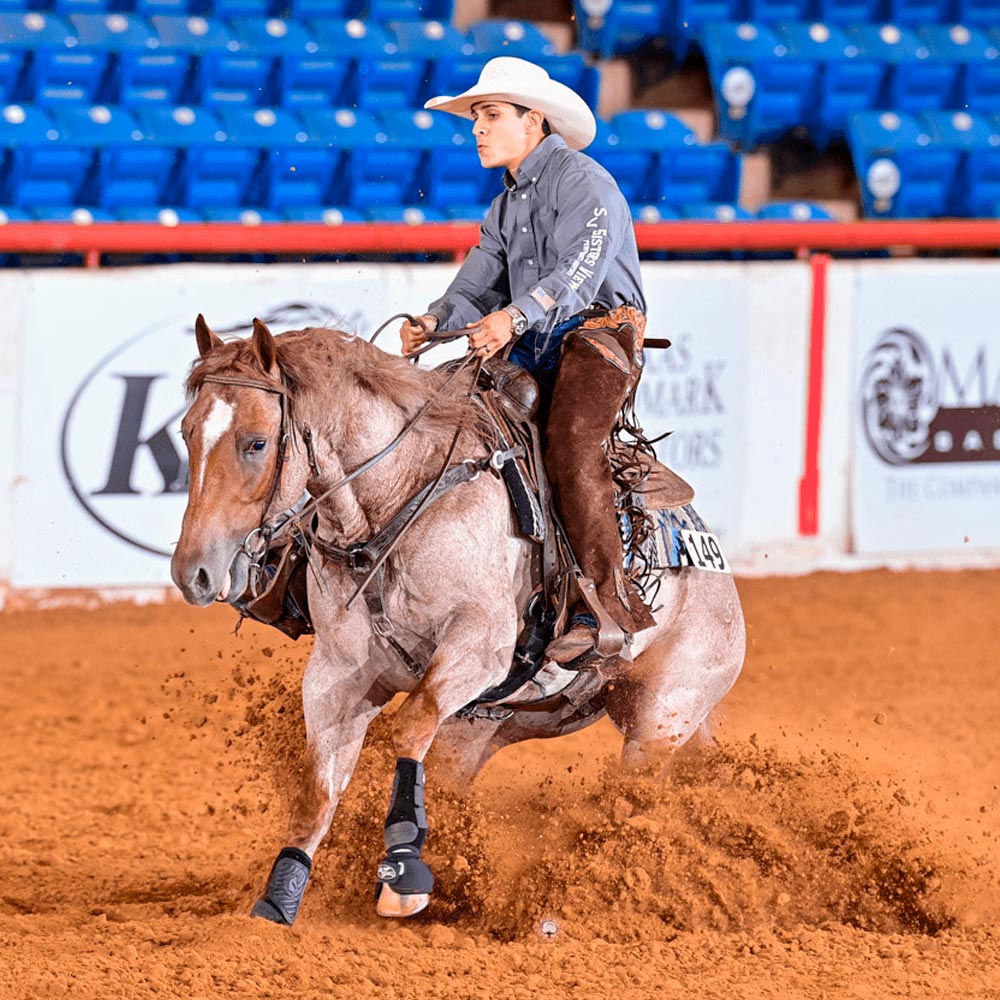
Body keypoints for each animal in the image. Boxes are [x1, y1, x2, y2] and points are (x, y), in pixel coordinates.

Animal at [170, 316, 744, 924]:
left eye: (256, 442)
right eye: (186, 433)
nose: (193, 572)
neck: (401, 497)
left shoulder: (477, 647)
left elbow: (410, 724)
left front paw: (403, 872)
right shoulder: (338, 672)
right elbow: (319, 786)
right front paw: (278, 901)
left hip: (662, 716)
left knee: (636, 795)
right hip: (490, 727)